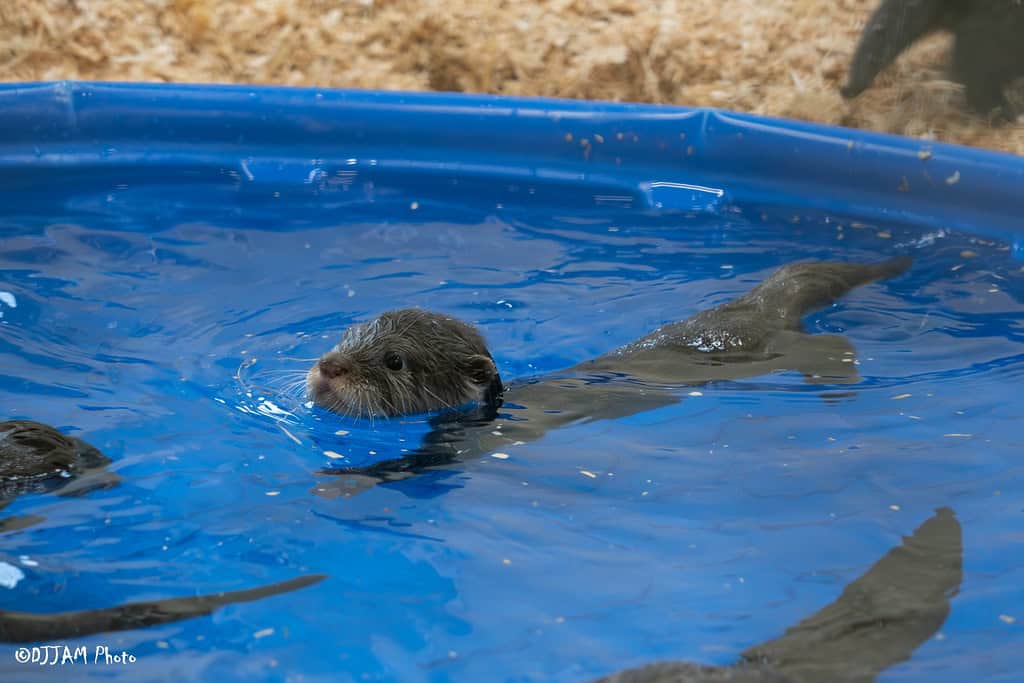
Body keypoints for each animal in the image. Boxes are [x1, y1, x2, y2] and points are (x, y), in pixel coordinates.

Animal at [309, 258, 911, 491]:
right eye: (348, 334)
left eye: (394, 361)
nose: (328, 368)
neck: (495, 412)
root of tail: (756, 305)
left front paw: (347, 482)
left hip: (776, 347)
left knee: (825, 344)